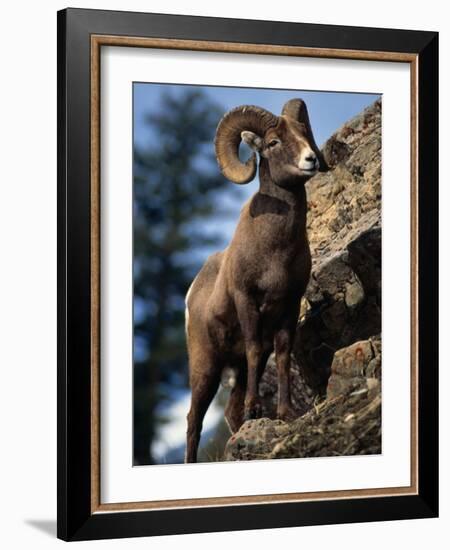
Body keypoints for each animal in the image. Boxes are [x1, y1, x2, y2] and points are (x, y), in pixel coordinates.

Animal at [183, 97, 326, 464]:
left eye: (304, 133)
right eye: (273, 142)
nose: (310, 160)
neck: (275, 250)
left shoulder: (289, 304)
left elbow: (284, 352)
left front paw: (285, 413)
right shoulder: (247, 301)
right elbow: (253, 345)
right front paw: (256, 409)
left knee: (229, 413)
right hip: (205, 368)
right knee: (193, 420)